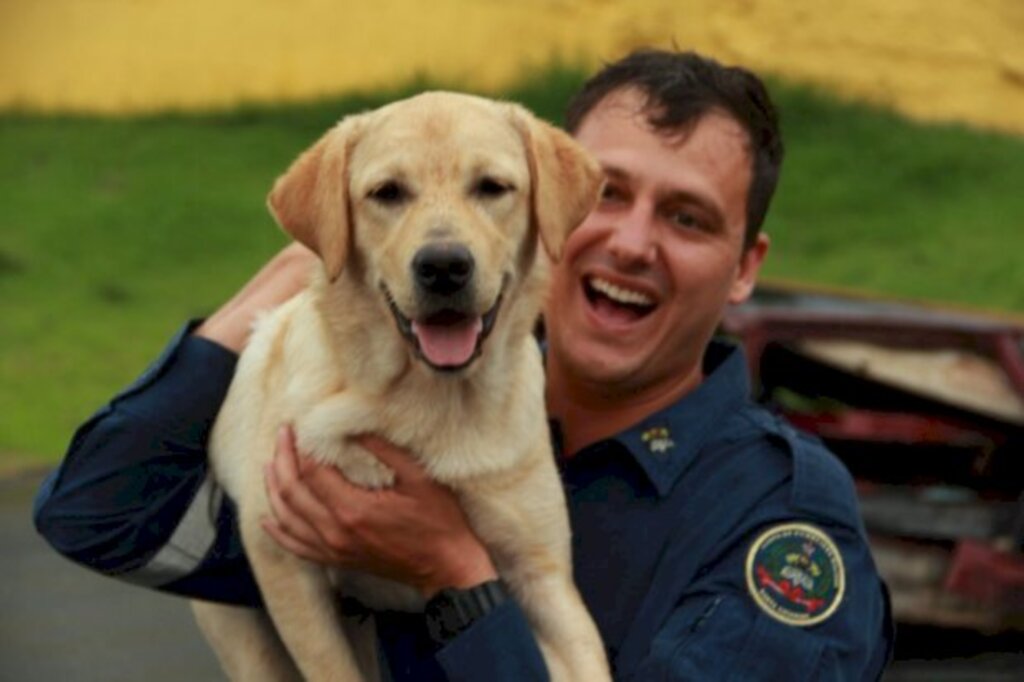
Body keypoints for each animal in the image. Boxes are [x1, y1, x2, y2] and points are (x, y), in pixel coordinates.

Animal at [190, 91, 606, 679]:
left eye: (491, 187)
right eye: (387, 192)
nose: (444, 266)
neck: (430, 403)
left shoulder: (543, 576)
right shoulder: (282, 560)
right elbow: (332, 672)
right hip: (246, 639)